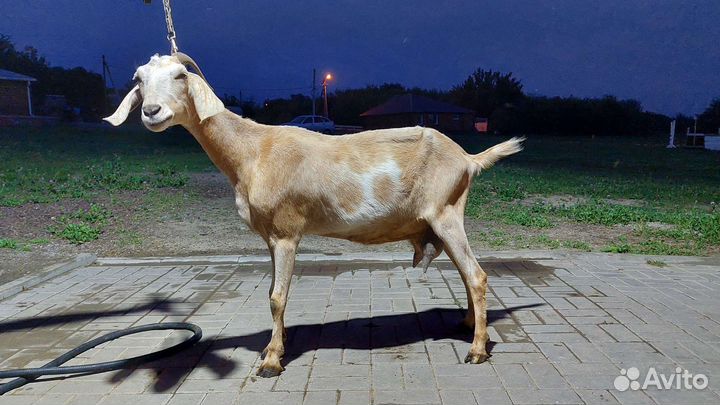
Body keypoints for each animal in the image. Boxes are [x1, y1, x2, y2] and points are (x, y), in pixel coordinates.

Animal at [105, 54, 524, 377]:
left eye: (179, 75)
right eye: (139, 80)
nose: (152, 112)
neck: (253, 150)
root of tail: (468, 159)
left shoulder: (286, 232)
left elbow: (277, 297)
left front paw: (271, 361)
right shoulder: (269, 236)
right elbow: (271, 293)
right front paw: (275, 344)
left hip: (445, 213)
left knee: (477, 276)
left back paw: (476, 350)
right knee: (468, 275)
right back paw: (471, 327)